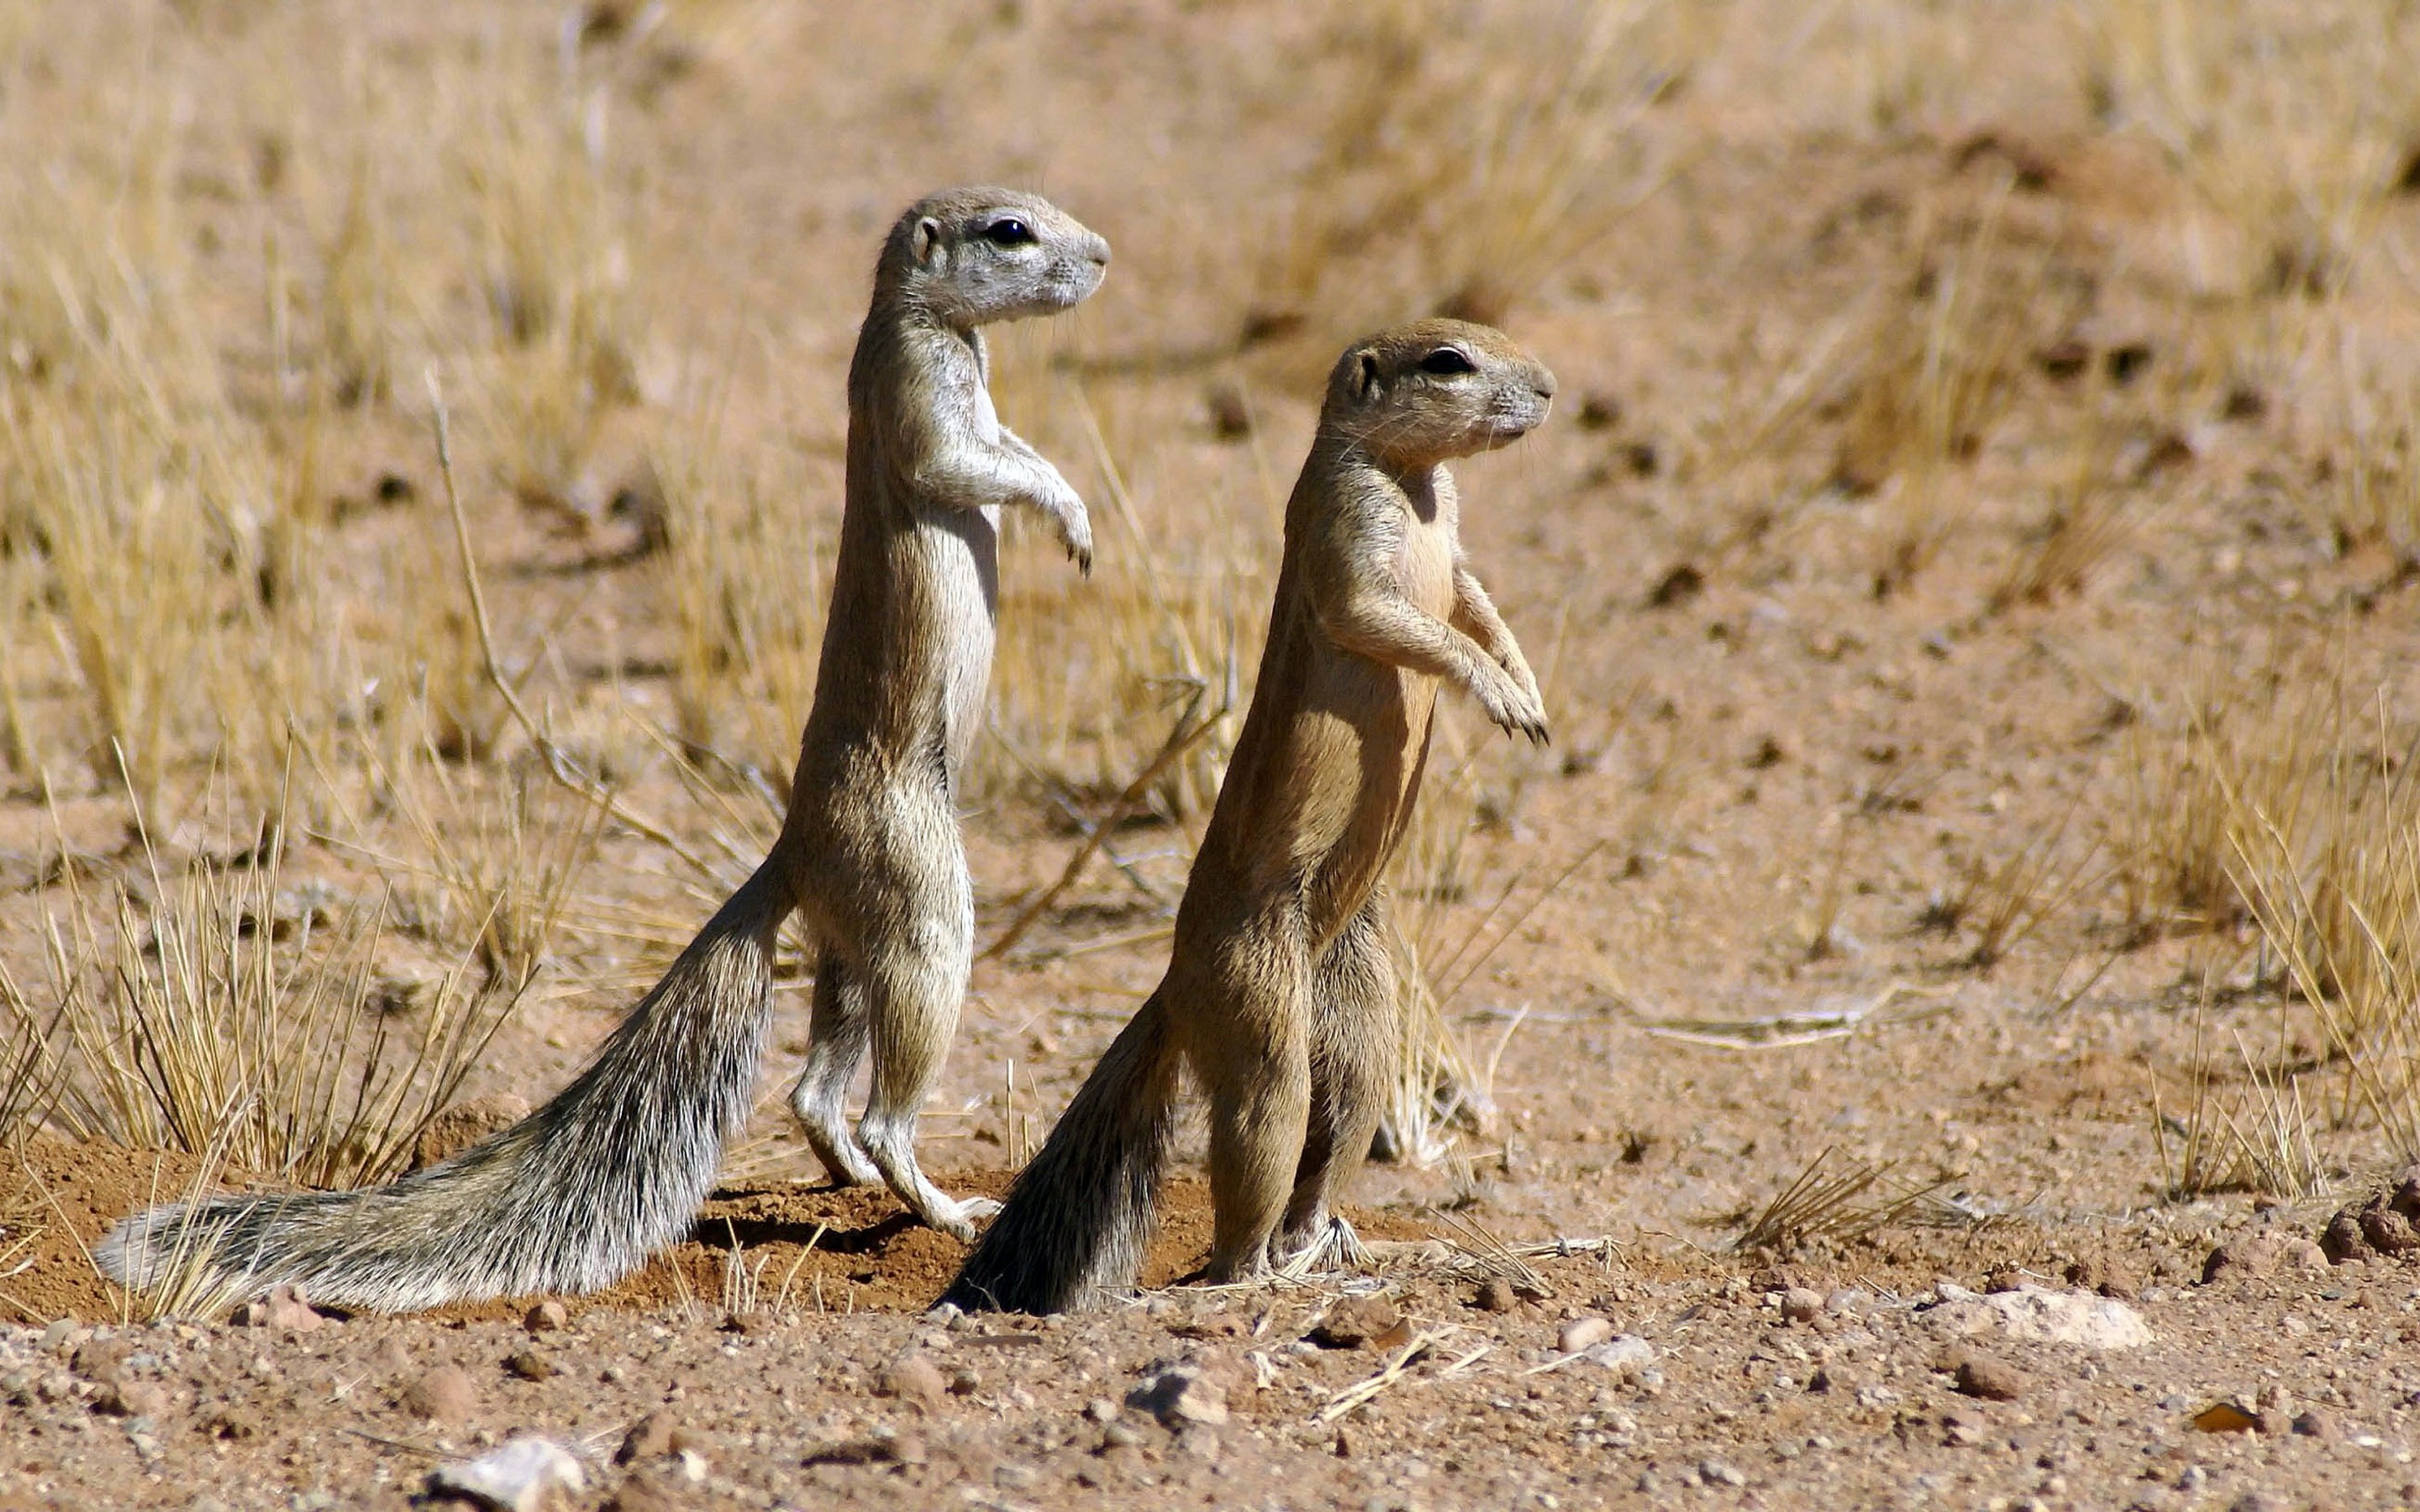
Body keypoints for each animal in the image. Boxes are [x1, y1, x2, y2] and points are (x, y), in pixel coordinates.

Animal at [99, 186, 1108, 1306]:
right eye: (1012, 230)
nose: (1105, 256)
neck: (929, 321)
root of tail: (791, 849)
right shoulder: (923, 394)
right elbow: (973, 463)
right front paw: (1072, 516)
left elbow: (1014, 445)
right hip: (928, 912)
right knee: (885, 1105)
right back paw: (936, 1206)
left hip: (856, 941)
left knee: (813, 1091)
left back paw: (846, 1178)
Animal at [944, 314, 1549, 1306]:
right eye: (1449, 361)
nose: (1549, 390)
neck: (1415, 484)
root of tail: (1176, 984)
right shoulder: (1349, 536)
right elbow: (1396, 620)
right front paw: (1498, 693)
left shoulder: (1452, 552)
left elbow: (1475, 601)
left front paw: (1528, 687)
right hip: (1262, 1018)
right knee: (1254, 1168)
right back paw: (1259, 1276)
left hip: (1361, 1012)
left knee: (1337, 1130)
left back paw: (1340, 1246)